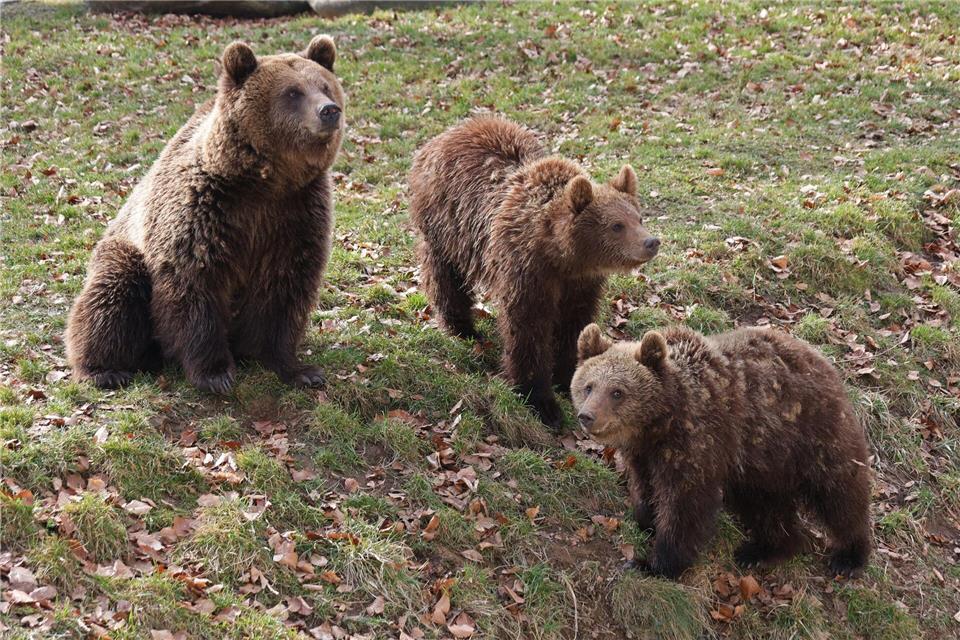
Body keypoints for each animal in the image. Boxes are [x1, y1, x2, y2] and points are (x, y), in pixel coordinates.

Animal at [66, 36, 345, 393]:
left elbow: (285, 287)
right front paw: (215, 374)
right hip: (123, 249)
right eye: (293, 92)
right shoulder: (203, 210)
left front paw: (298, 369)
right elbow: (194, 284)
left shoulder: (296, 213)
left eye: (325, 85)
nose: (329, 110)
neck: (264, 183)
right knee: (111, 292)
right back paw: (102, 369)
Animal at [408, 117, 660, 427]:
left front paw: (568, 375)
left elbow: (574, 323)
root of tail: (444, 135)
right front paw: (541, 400)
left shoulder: (580, 283)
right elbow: (528, 328)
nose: (651, 242)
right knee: (446, 278)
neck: (561, 255)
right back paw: (461, 328)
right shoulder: (526, 271)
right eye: (616, 225)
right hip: (447, 225)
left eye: (639, 218)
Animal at [571, 323, 872, 579]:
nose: (587, 416)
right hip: (761, 463)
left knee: (838, 493)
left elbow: (686, 504)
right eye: (588, 386)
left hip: (811, 437)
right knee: (765, 505)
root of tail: (825, 364)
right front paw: (647, 520)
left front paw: (654, 563)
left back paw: (849, 556)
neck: (661, 422)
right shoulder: (644, 454)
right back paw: (762, 550)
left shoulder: (697, 441)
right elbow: (645, 487)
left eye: (617, 392)